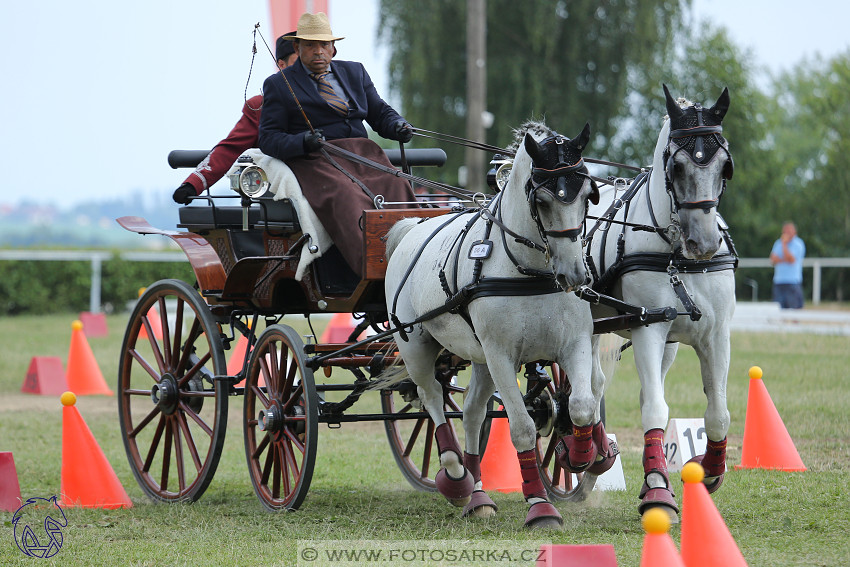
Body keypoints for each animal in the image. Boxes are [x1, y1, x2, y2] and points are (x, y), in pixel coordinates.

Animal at [380, 123, 612, 528]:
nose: (575, 275)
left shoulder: (574, 344)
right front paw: (540, 505)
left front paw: (579, 455)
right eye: (543, 200)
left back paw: (477, 495)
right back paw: (456, 476)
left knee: (472, 410)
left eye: (588, 195)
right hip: (418, 347)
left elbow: (581, 405)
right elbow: (521, 428)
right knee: (432, 399)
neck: (530, 272)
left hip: (480, 357)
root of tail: (411, 227)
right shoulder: (502, 355)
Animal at [584, 84, 736, 520]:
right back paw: (589, 454)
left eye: (725, 166)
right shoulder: (648, 328)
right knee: (590, 388)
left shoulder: (717, 334)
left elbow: (718, 412)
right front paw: (657, 490)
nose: (704, 243)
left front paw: (709, 471)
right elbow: (655, 408)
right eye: (678, 166)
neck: (677, 255)